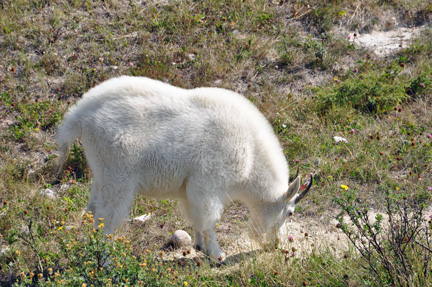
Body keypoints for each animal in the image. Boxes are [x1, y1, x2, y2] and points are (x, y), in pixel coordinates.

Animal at [58, 76, 314, 264]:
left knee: (92, 209)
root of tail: (80, 115)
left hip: (101, 172)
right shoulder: (208, 183)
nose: (276, 245)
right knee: (106, 214)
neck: (251, 154)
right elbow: (209, 219)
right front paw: (217, 253)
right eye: (290, 212)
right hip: (117, 173)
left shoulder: (190, 188)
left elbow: (196, 217)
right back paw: (106, 259)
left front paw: (200, 245)